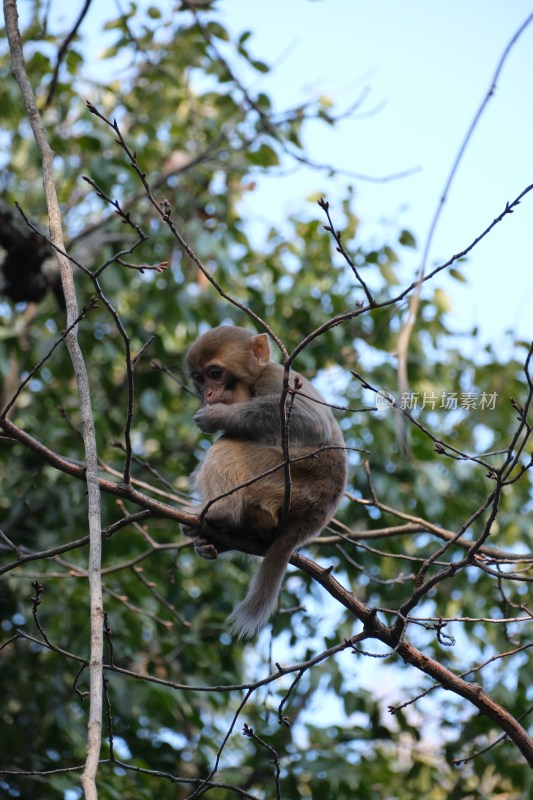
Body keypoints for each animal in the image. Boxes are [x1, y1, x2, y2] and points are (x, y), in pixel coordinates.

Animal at [183, 324, 348, 636]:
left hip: (286, 476)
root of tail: (315, 516)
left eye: (215, 373)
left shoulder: (278, 381)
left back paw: (220, 513)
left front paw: (218, 416)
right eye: (200, 379)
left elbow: (310, 421)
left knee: (228, 444)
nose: (208, 393)